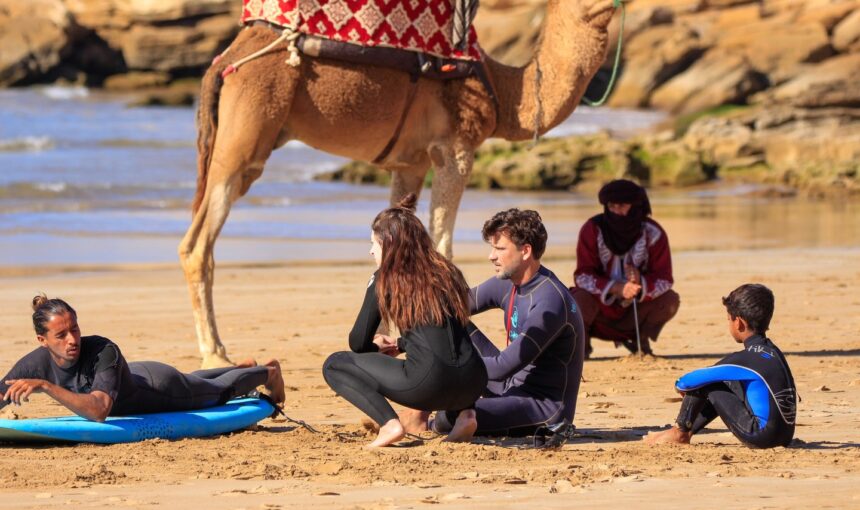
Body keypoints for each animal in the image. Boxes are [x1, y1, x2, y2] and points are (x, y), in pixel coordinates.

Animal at [180, 0, 620, 366]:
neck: (504, 90)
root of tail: (224, 62)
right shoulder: (456, 147)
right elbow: (442, 248)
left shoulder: (409, 162)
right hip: (247, 135)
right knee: (197, 244)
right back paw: (215, 354)